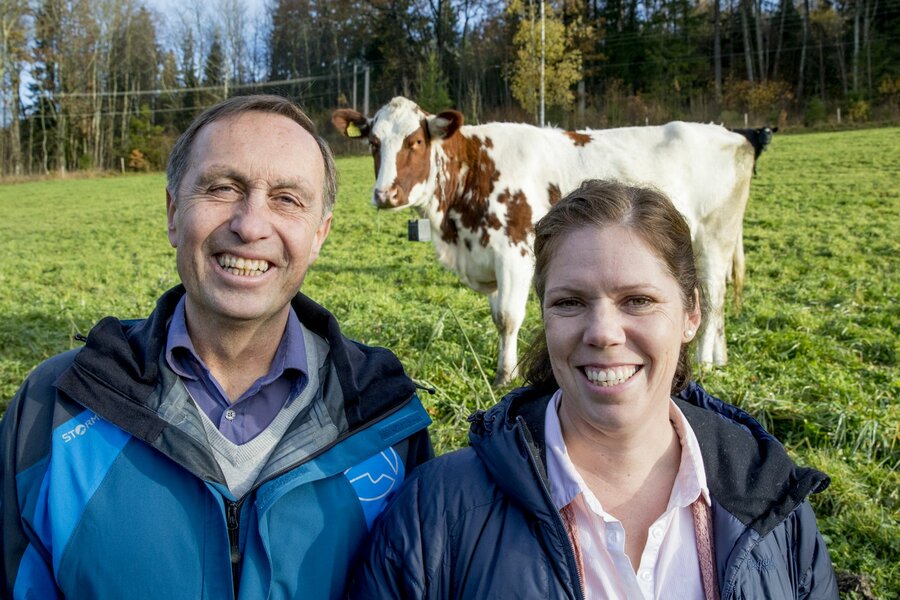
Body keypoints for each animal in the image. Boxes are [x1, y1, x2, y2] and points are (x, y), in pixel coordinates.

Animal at [334, 95, 756, 382]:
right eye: (373, 142)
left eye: (416, 142)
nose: (384, 194)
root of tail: (732, 135)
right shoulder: (488, 258)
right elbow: (496, 316)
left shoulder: (513, 252)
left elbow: (508, 317)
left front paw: (505, 375)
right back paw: (719, 359)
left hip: (714, 235)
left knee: (713, 299)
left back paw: (704, 360)